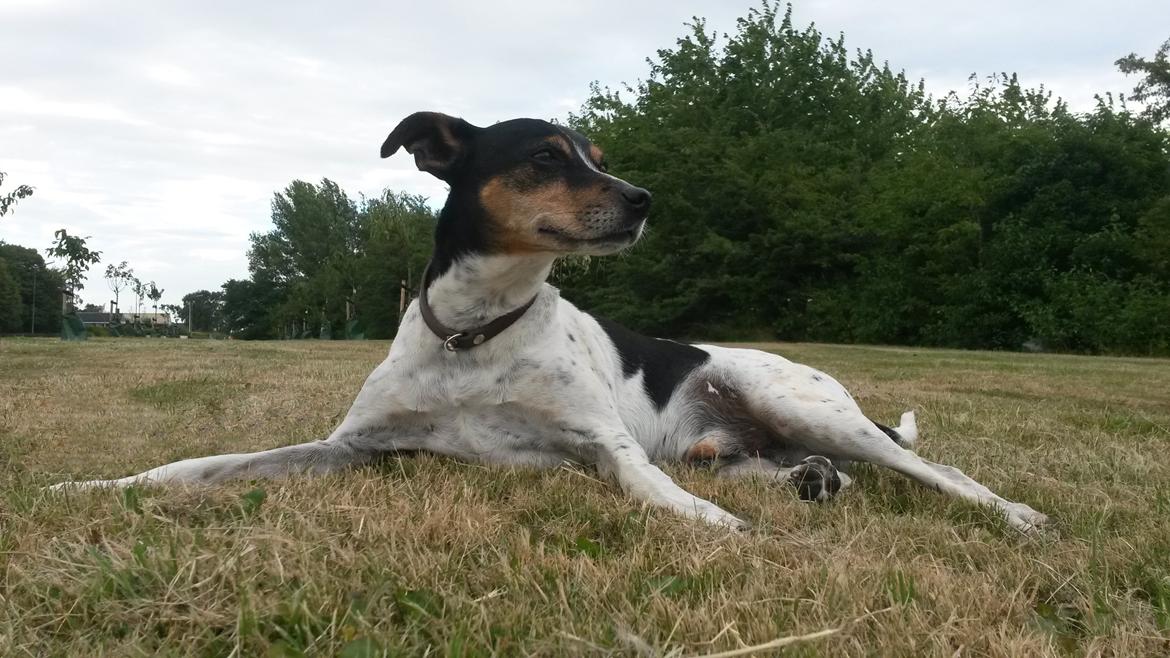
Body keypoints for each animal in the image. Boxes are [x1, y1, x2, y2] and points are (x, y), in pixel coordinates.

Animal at [50, 111, 1048, 533]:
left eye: (598, 157)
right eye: (544, 157)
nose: (645, 200)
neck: (475, 336)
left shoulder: (604, 447)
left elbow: (647, 487)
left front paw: (709, 527)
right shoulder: (348, 449)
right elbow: (198, 466)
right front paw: (95, 486)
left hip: (800, 402)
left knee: (940, 471)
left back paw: (1018, 516)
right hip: (736, 446)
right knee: (798, 469)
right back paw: (812, 483)